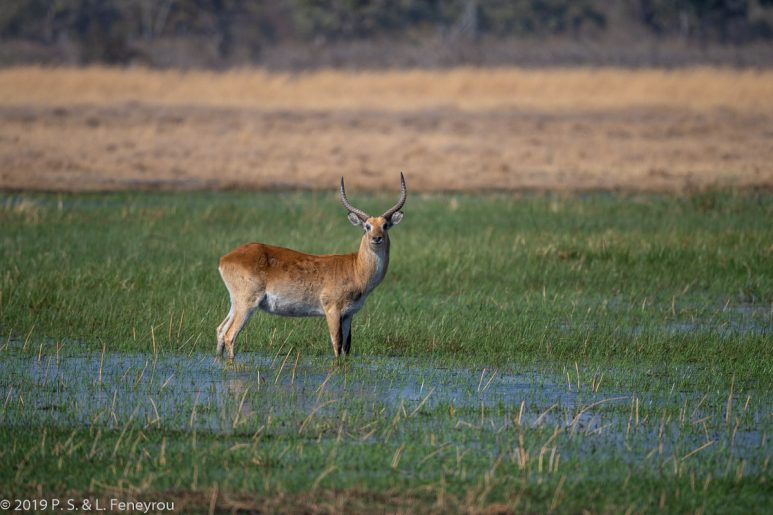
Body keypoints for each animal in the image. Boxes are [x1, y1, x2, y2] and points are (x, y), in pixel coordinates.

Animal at [216, 173, 408, 358]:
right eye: (367, 226)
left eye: (385, 225)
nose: (377, 238)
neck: (355, 268)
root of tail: (225, 258)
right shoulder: (332, 311)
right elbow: (337, 345)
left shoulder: (348, 315)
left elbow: (346, 348)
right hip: (247, 303)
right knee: (230, 335)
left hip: (236, 303)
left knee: (220, 330)